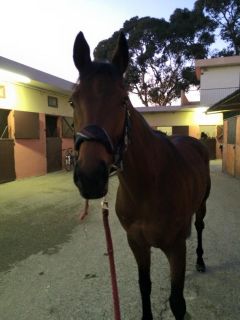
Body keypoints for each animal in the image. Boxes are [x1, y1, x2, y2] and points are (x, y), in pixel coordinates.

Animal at [70, 31, 211, 320]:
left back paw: (201, 260)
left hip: (202, 205)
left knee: (200, 227)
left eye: (123, 101)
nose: (90, 178)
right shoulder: (137, 243)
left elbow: (177, 302)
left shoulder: (175, 249)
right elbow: (144, 285)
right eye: (72, 101)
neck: (149, 185)